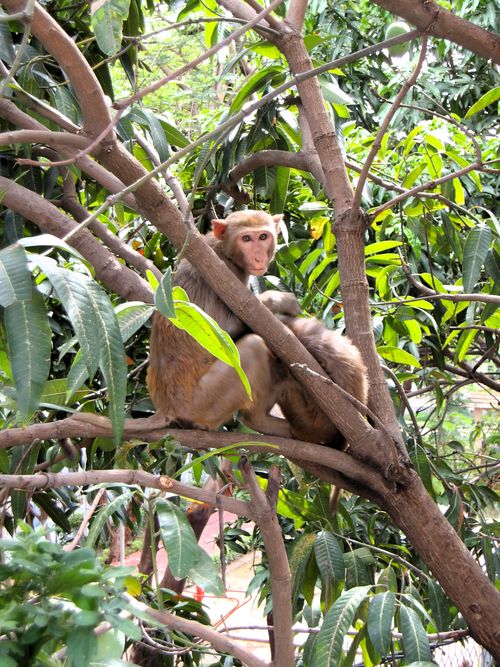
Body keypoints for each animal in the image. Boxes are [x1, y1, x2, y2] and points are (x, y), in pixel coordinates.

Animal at [147, 209, 368, 450]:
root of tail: (166, 407)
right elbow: (221, 333)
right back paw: (260, 421)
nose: (259, 258)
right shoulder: (222, 275)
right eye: (246, 239)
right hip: (202, 402)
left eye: (263, 237)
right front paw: (283, 301)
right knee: (254, 347)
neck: (223, 250)